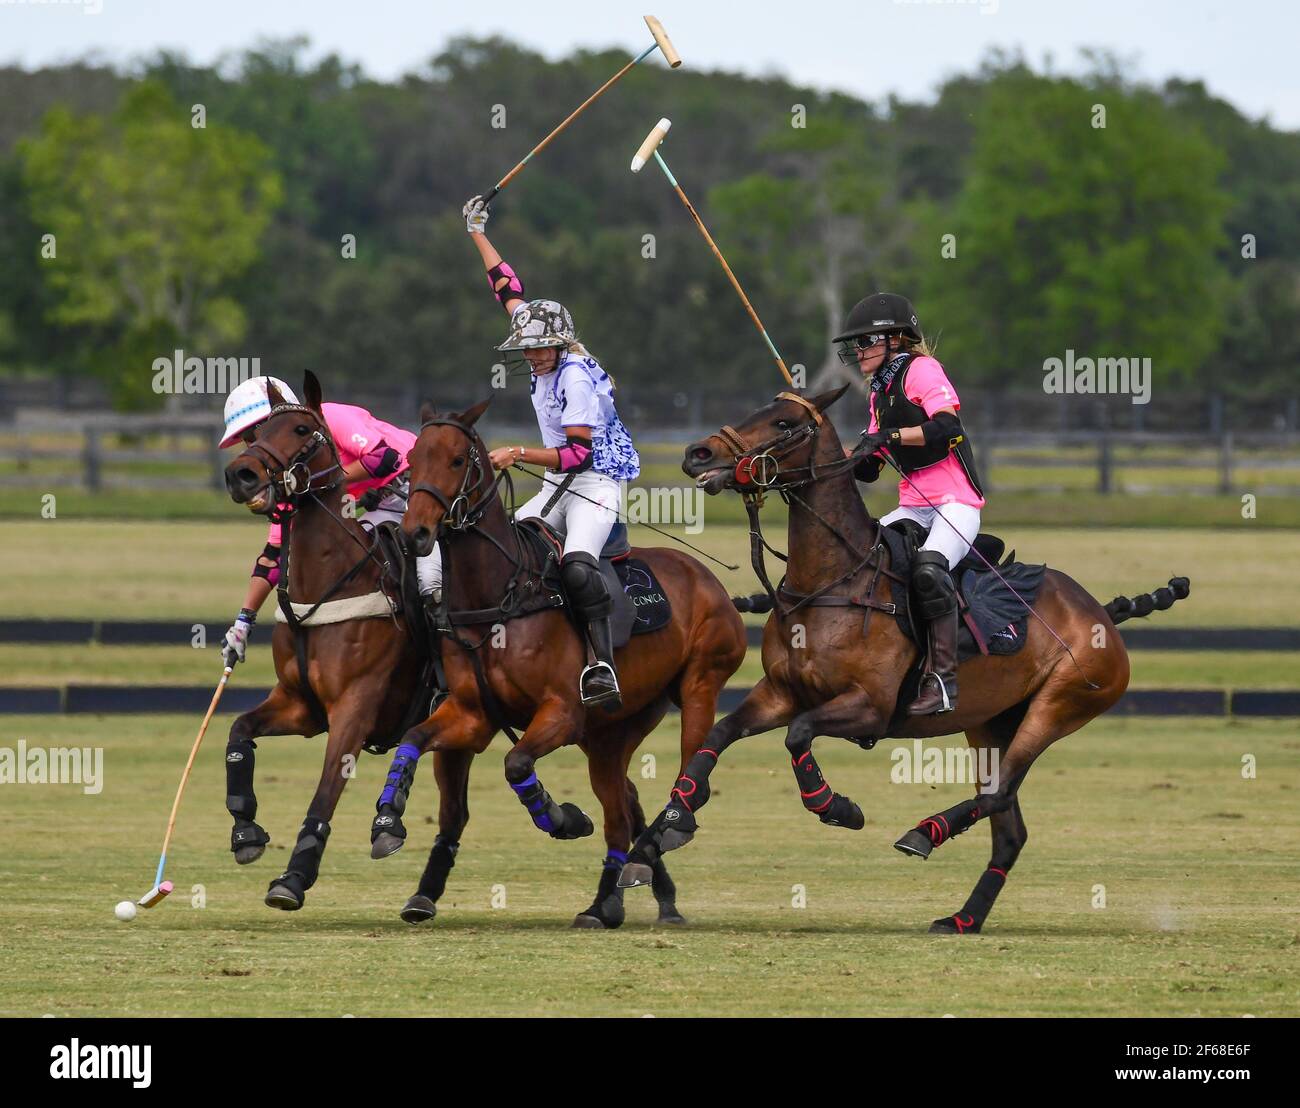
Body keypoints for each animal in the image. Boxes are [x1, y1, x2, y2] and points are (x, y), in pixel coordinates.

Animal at [220, 371, 428, 910]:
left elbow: (326, 789)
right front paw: (245, 831)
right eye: (255, 435)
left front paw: (293, 877)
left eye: (300, 429)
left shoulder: (355, 706)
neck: (328, 582)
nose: (240, 475)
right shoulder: (301, 705)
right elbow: (238, 732)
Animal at [369, 397, 754, 925]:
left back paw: (659, 845)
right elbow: (413, 738)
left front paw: (564, 818)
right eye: (411, 459)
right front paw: (387, 822)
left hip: (699, 685)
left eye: (455, 460)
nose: (415, 535)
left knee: (686, 774)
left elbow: (515, 763)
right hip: (611, 734)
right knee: (619, 813)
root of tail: (711, 582)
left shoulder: (562, 712)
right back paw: (607, 902)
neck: (498, 595)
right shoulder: (472, 713)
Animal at [618, 384, 1190, 931]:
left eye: (783, 422)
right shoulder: (780, 692)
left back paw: (924, 833)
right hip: (989, 723)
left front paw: (837, 807)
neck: (832, 581)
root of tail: (1102, 612)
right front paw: (658, 838)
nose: (697, 453)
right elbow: (717, 736)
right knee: (1009, 827)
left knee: (999, 794)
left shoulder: (869, 706)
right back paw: (961, 919)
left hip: (1059, 706)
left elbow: (798, 734)